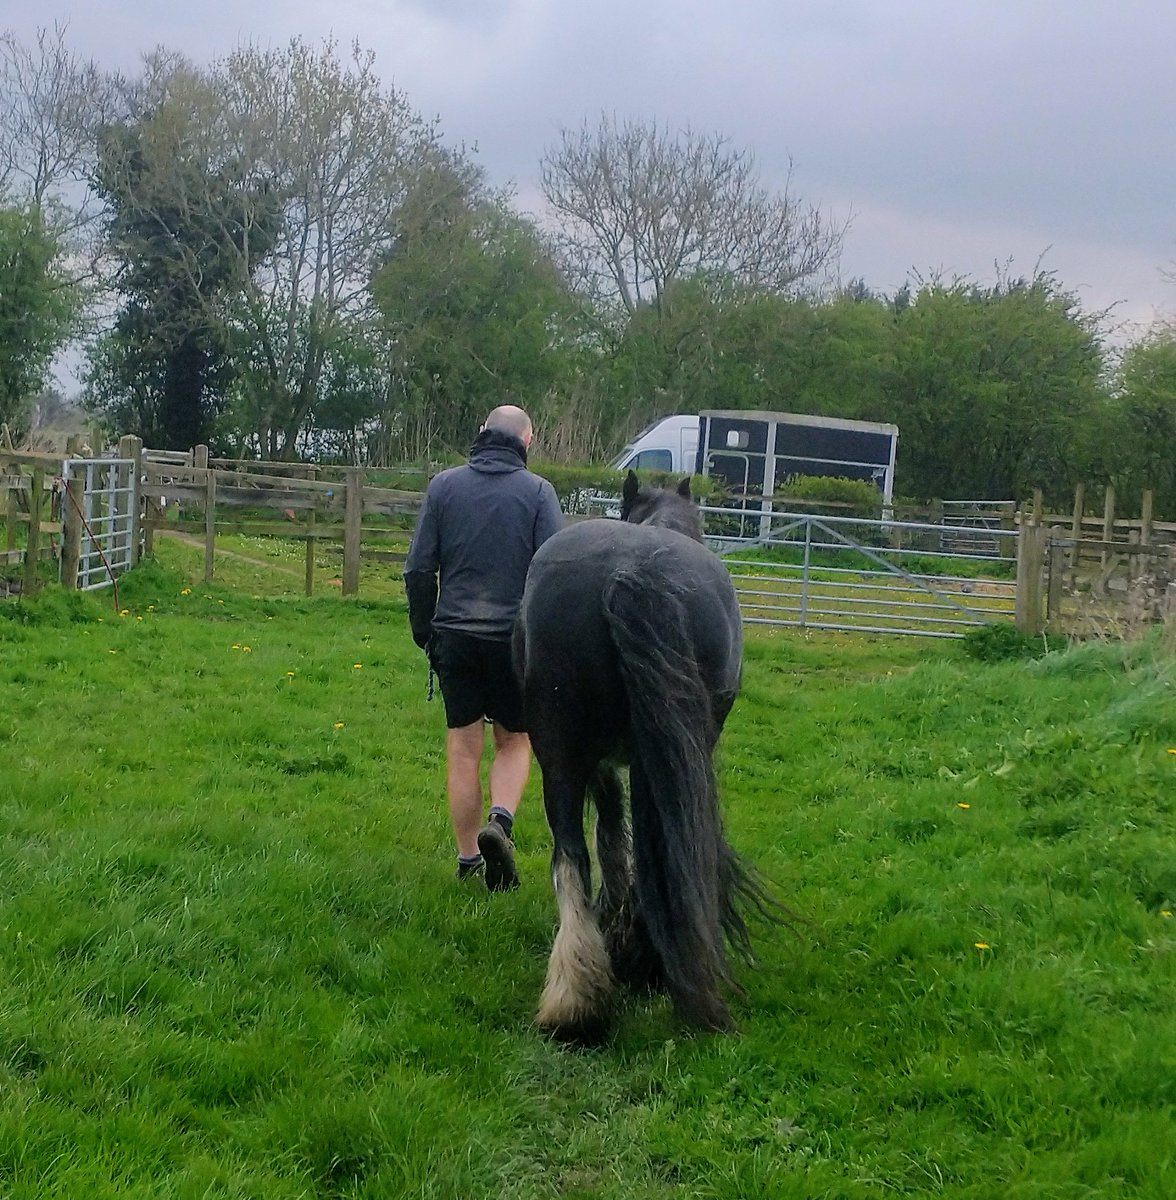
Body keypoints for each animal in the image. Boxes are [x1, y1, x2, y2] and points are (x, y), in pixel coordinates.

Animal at [514, 470, 773, 1043]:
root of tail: (633, 572)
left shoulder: (603, 765)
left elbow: (610, 837)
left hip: (560, 755)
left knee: (571, 857)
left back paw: (575, 1003)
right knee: (658, 846)